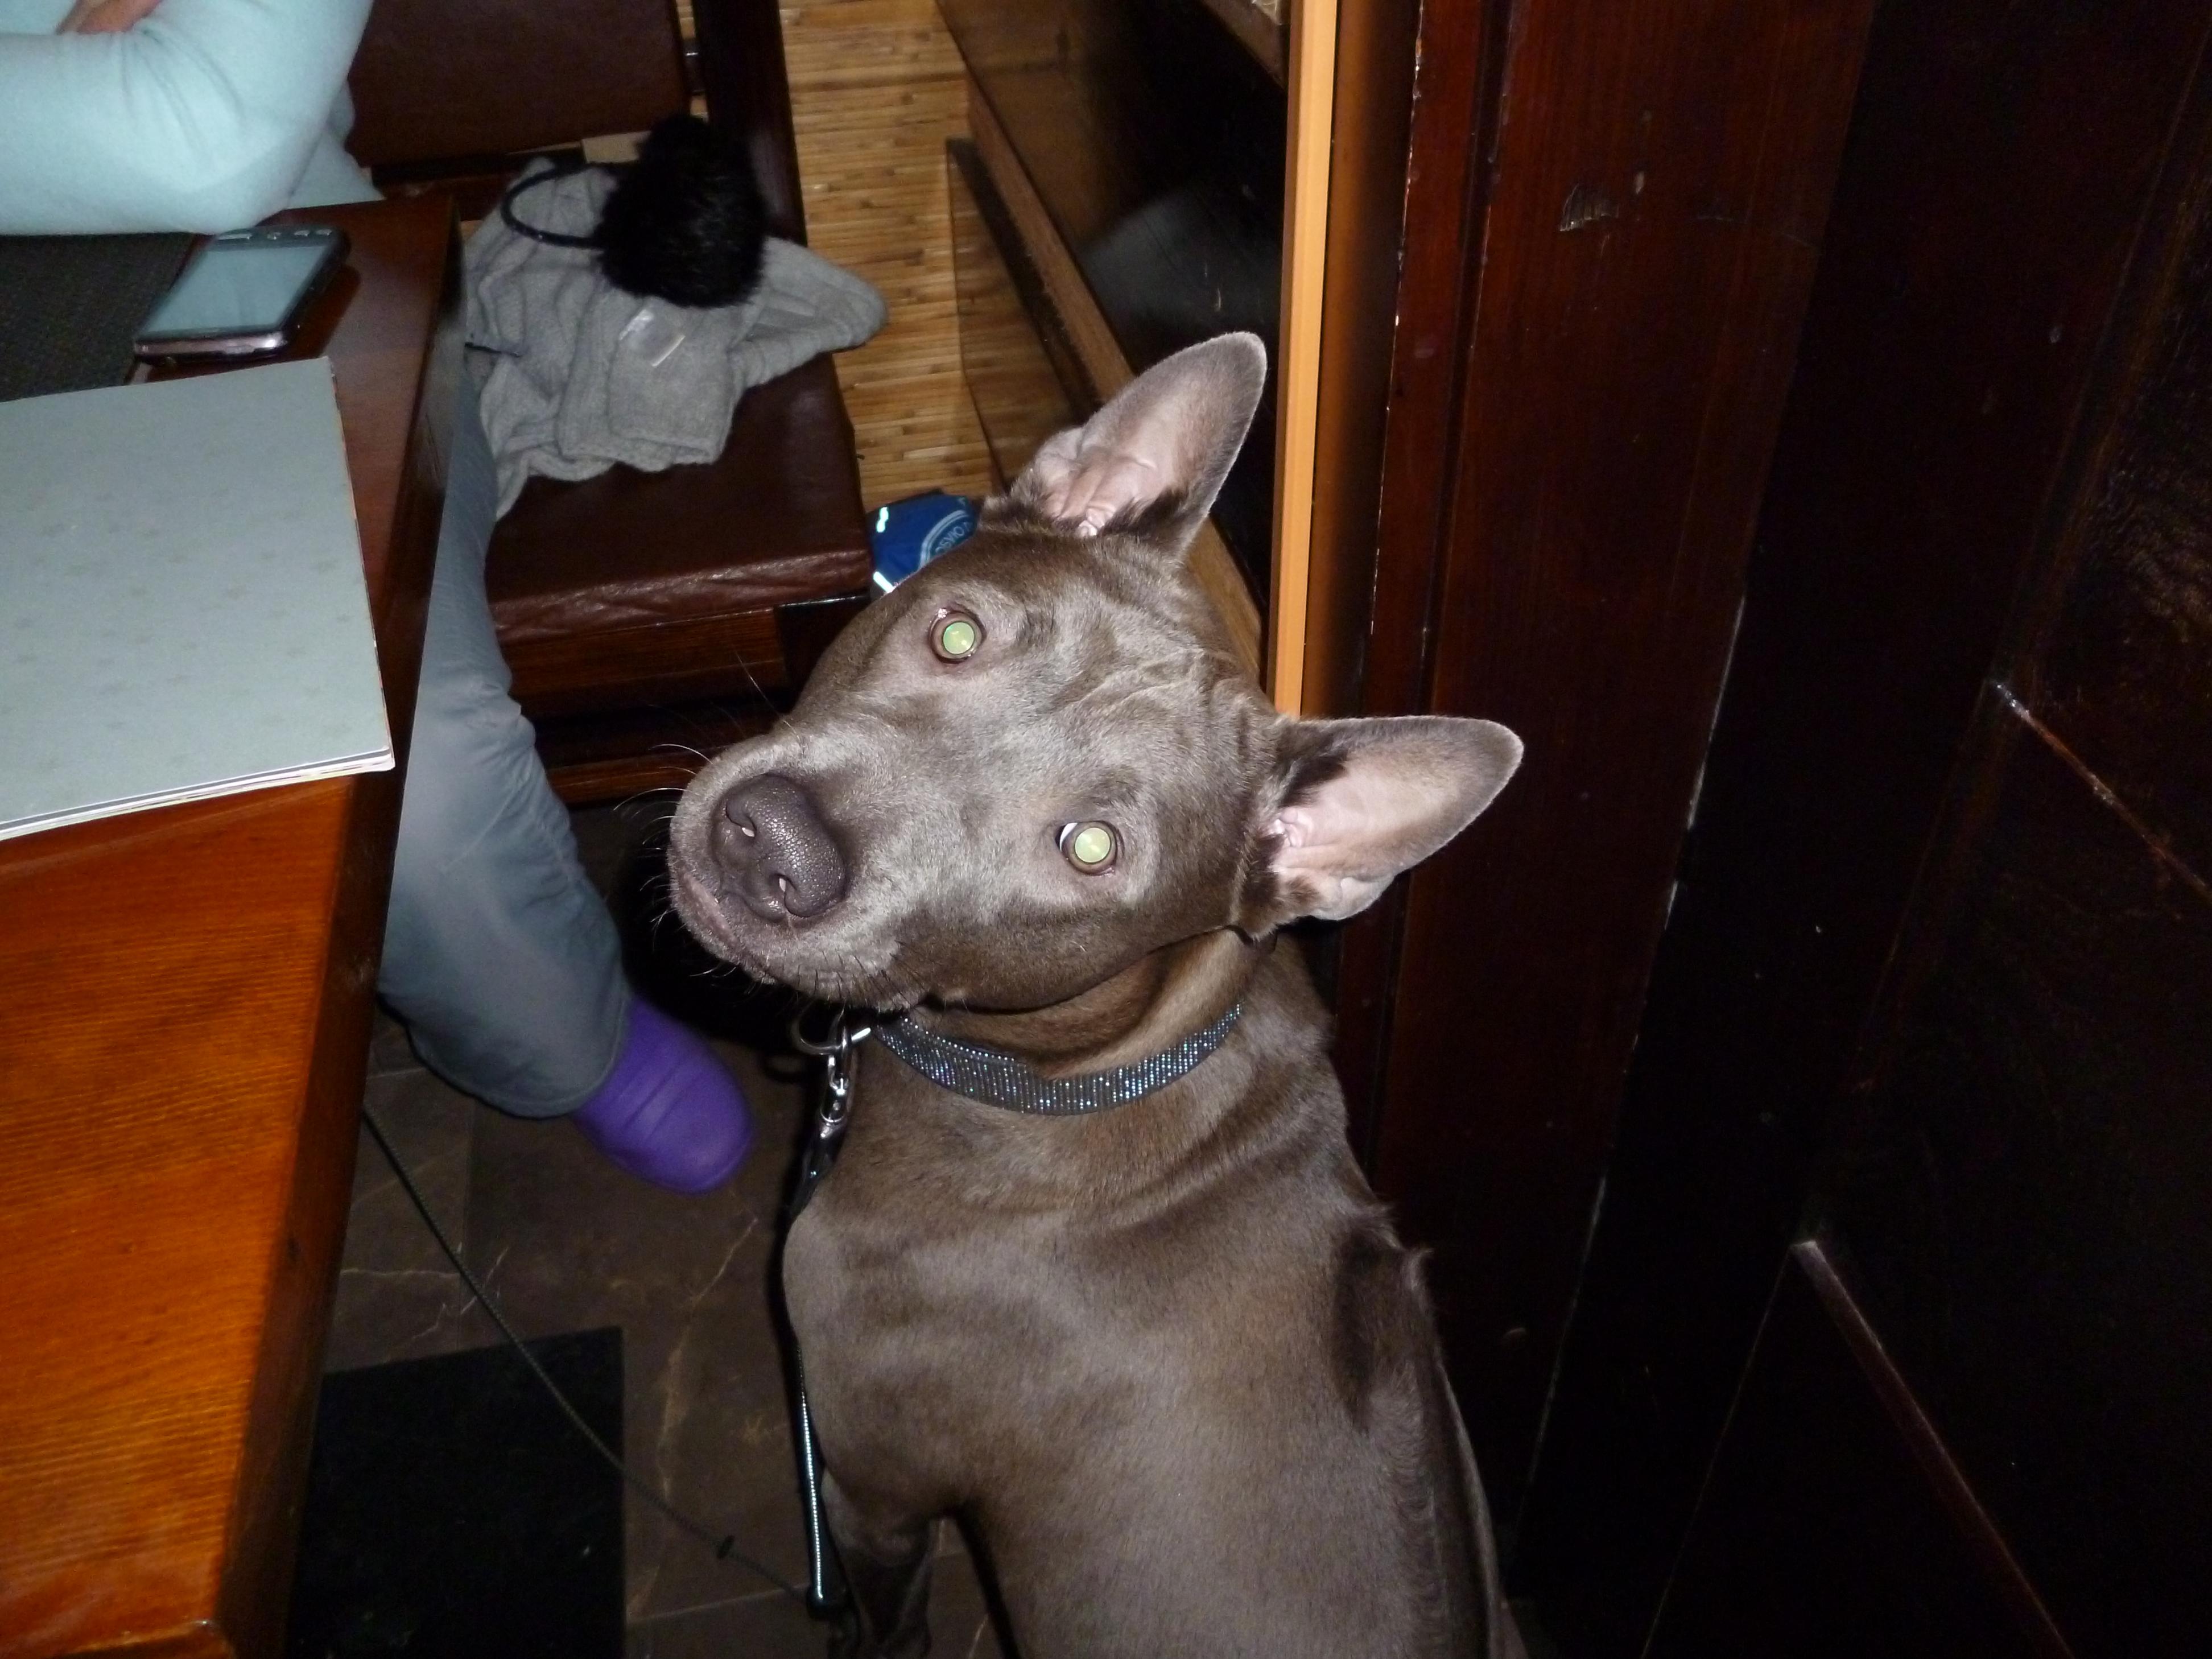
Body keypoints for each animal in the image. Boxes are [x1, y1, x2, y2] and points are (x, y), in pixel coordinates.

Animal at [668, 334, 1525, 1658]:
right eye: (955, 634)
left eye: (1090, 849)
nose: (772, 846)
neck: (1073, 1078)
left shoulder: (871, 1490)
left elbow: (886, 1622)